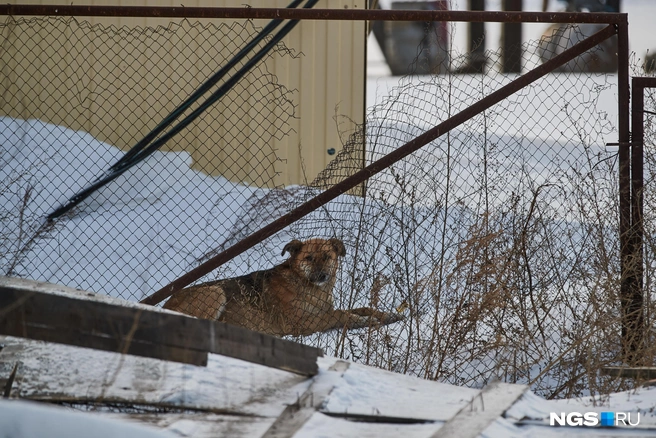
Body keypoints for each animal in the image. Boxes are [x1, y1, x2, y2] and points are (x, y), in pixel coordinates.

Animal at [162, 240, 402, 336]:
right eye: (308, 258)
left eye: (327, 256)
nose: (322, 276)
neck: (306, 285)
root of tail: (165, 304)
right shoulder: (302, 323)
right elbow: (340, 315)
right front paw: (363, 321)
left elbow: (362, 308)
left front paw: (387, 315)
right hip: (215, 292)